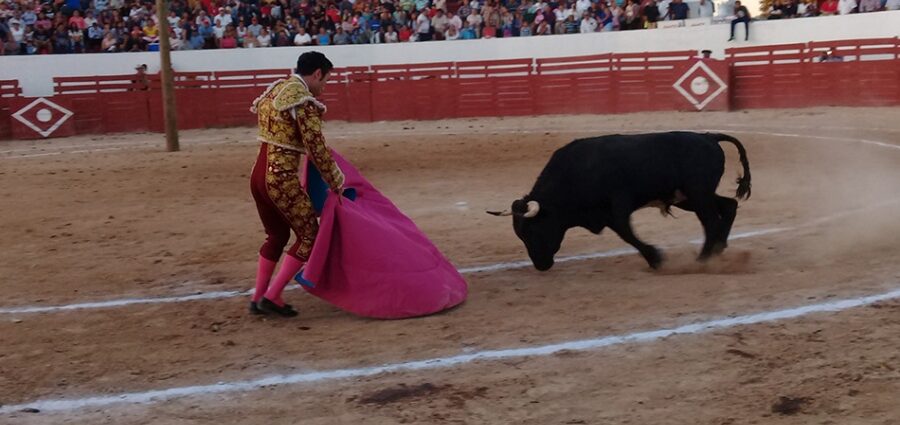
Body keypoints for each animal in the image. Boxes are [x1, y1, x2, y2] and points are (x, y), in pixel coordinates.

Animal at [488, 131, 748, 270]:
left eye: (533, 231)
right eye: (520, 235)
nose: (541, 265)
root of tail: (709, 137)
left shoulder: (618, 205)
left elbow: (626, 233)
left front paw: (656, 258)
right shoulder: (605, 213)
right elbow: (625, 233)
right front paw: (654, 258)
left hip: (698, 194)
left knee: (712, 221)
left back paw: (702, 259)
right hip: (689, 198)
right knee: (729, 206)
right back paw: (718, 249)